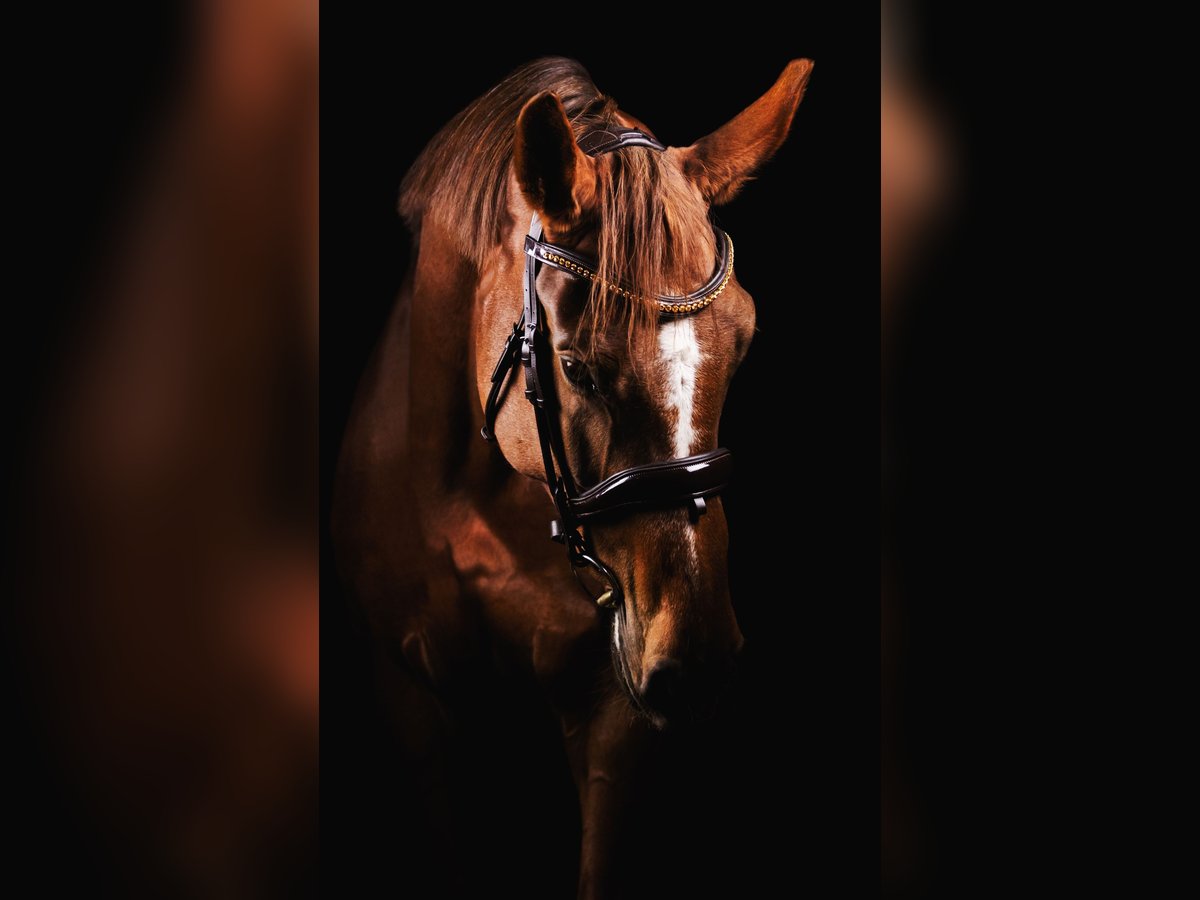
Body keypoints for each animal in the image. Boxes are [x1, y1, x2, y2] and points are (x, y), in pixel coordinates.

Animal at [332, 56, 812, 898]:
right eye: (575, 364)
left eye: (747, 339)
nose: (699, 663)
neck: (463, 501)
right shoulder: (409, 702)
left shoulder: (614, 716)